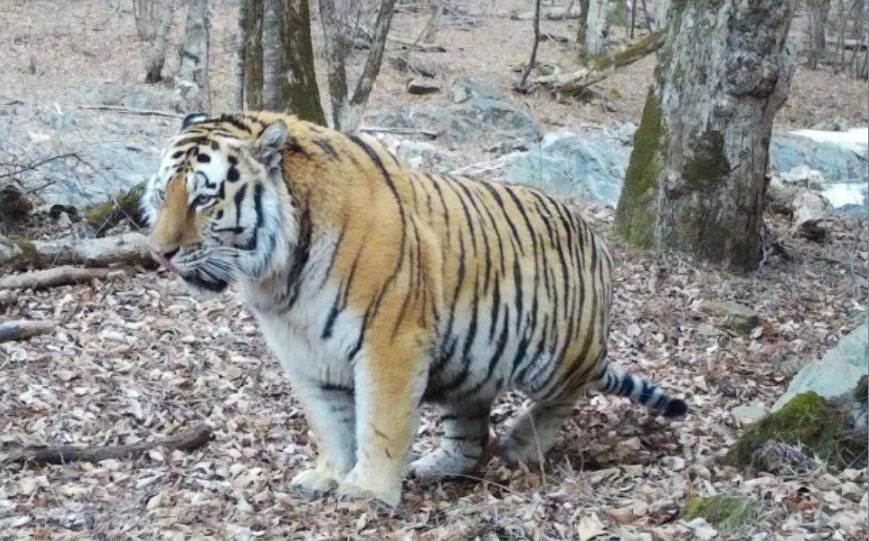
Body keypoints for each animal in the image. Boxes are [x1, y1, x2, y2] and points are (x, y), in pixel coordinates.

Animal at [142, 111, 687, 506]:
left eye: (203, 200)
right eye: (162, 192)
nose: (160, 253)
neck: (279, 277)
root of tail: (597, 241)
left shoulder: (391, 342)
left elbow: (380, 422)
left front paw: (367, 491)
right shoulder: (304, 357)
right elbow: (330, 425)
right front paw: (328, 477)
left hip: (554, 360)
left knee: (569, 394)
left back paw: (521, 444)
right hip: (470, 363)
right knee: (470, 432)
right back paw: (440, 466)